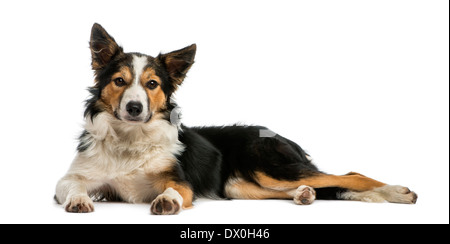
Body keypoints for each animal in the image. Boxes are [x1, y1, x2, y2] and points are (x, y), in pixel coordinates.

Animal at [55, 22, 418, 214]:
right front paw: (79, 200)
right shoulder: (74, 178)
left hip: (269, 166)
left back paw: (399, 192)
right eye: (119, 81)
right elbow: (72, 185)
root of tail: (280, 136)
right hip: (240, 186)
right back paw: (303, 194)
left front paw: (167, 199)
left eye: (152, 84)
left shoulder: (181, 181)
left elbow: (175, 189)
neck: (129, 140)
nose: (134, 108)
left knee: (349, 174)